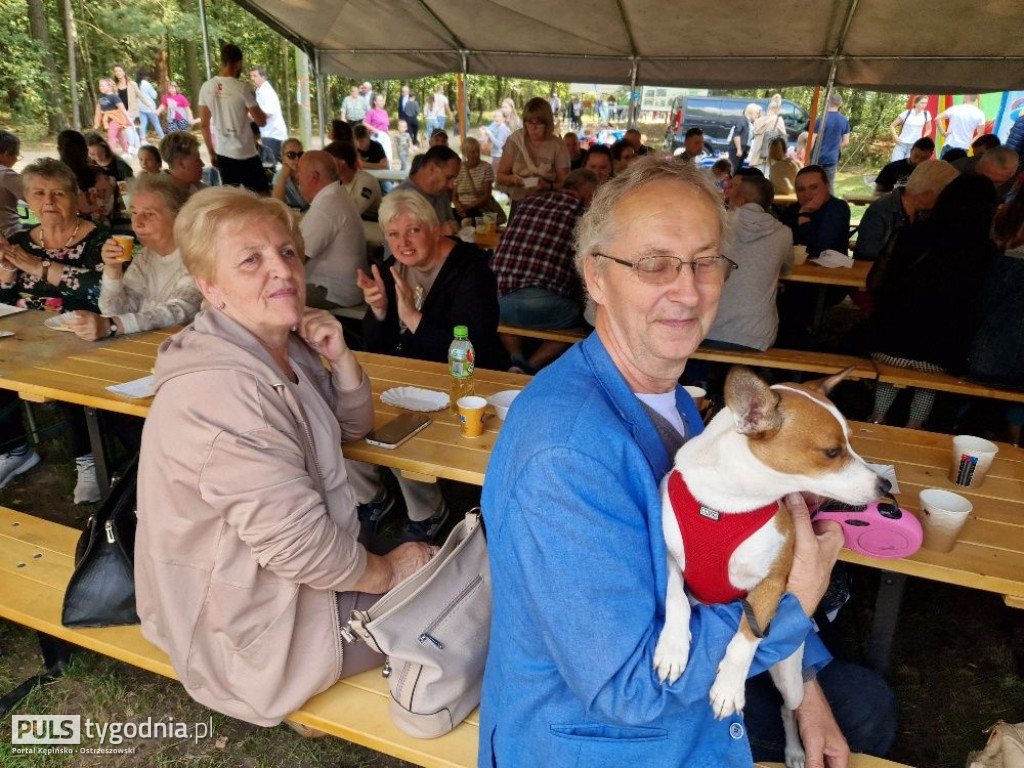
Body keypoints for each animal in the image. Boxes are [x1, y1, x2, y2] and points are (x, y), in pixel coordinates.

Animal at [655, 368, 888, 768]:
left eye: (851, 443)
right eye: (832, 452)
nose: (885, 485)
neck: (726, 503)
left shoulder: (772, 583)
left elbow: (746, 638)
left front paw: (729, 684)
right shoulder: (671, 558)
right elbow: (676, 599)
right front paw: (672, 646)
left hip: (791, 680)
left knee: (788, 710)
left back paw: (794, 751)